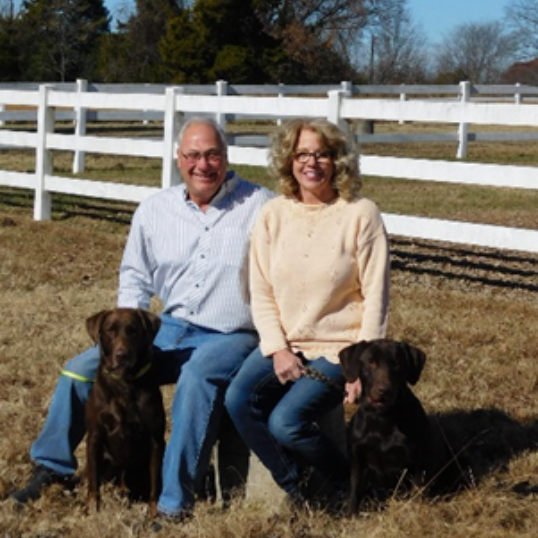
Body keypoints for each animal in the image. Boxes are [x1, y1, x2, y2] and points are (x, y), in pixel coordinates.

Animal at [84, 306, 162, 516]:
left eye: (133, 330)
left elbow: (156, 482)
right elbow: (93, 481)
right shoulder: (95, 436)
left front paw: (153, 512)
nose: (122, 355)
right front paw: (93, 508)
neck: (124, 383)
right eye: (110, 330)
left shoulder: (155, 440)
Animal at [338, 340, 458, 510]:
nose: (384, 390)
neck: (382, 419)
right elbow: (354, 494)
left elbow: (417, 492)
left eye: (397, 364)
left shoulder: (419, 462)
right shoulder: (357, 461)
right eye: (371, 362)